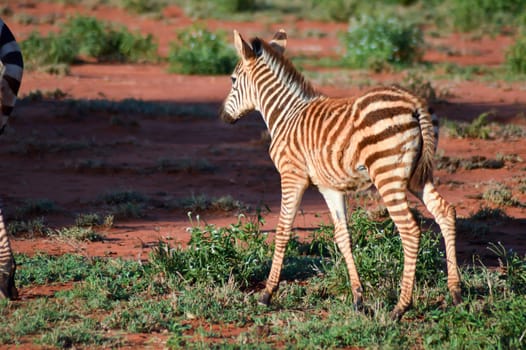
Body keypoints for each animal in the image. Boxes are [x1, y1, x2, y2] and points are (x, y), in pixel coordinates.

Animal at [219, 29, 462, 320]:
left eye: (233, 80)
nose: (223, 117)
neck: (285, 115)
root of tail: (415, 103)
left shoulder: (292, 175)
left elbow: (282, 230)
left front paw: (267, 293)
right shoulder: (329, 186)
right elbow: (343, 236)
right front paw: (358, 299)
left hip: (387, 175)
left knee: (410, 230)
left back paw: (401, 307)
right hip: (418, 175)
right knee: (445, 212)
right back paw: (455, 293)